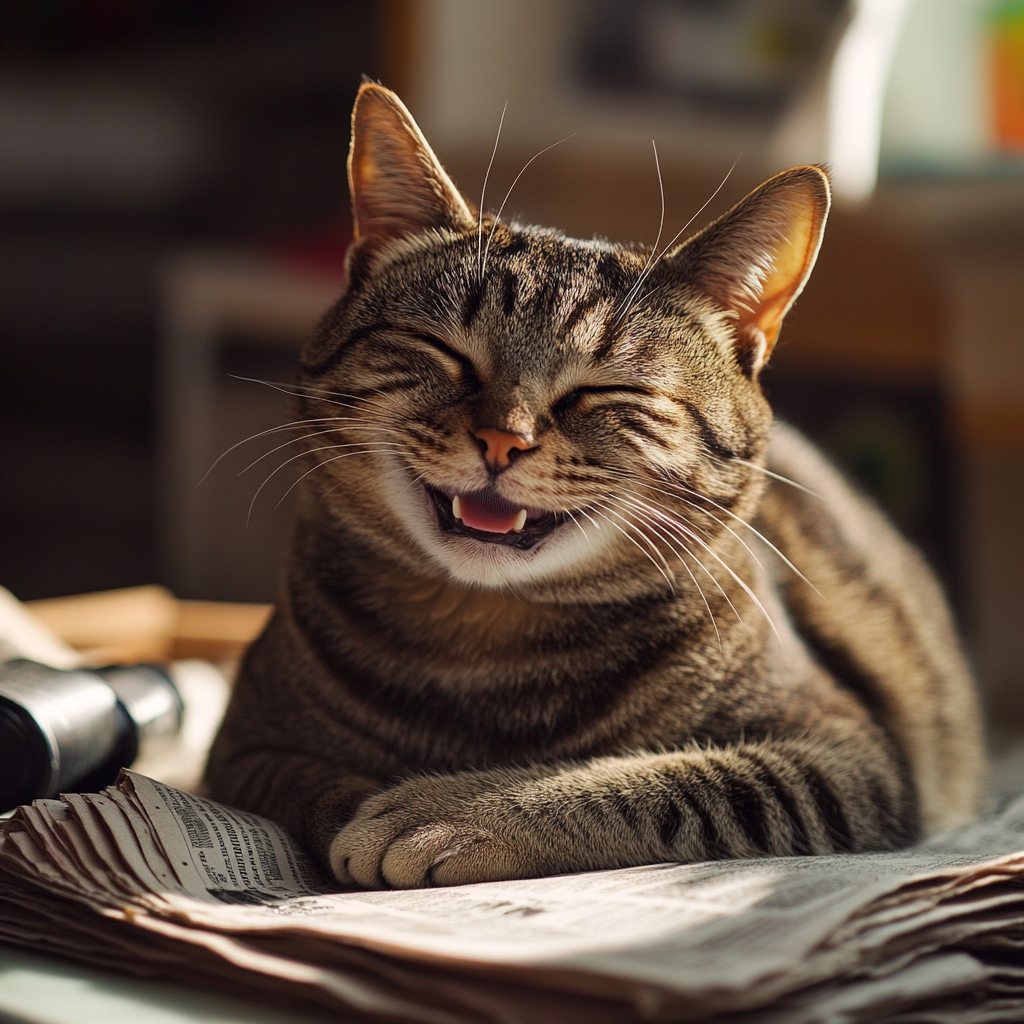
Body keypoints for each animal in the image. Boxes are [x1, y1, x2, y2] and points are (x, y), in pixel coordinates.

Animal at [205, 83, 983, 892]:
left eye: (602, 390)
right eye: (444, 351)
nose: (503, 437)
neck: (484, 648)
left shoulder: (849, 755)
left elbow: (655, 781)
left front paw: (448, 808)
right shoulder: (239, 747)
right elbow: (308, 780)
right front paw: (368, 800)